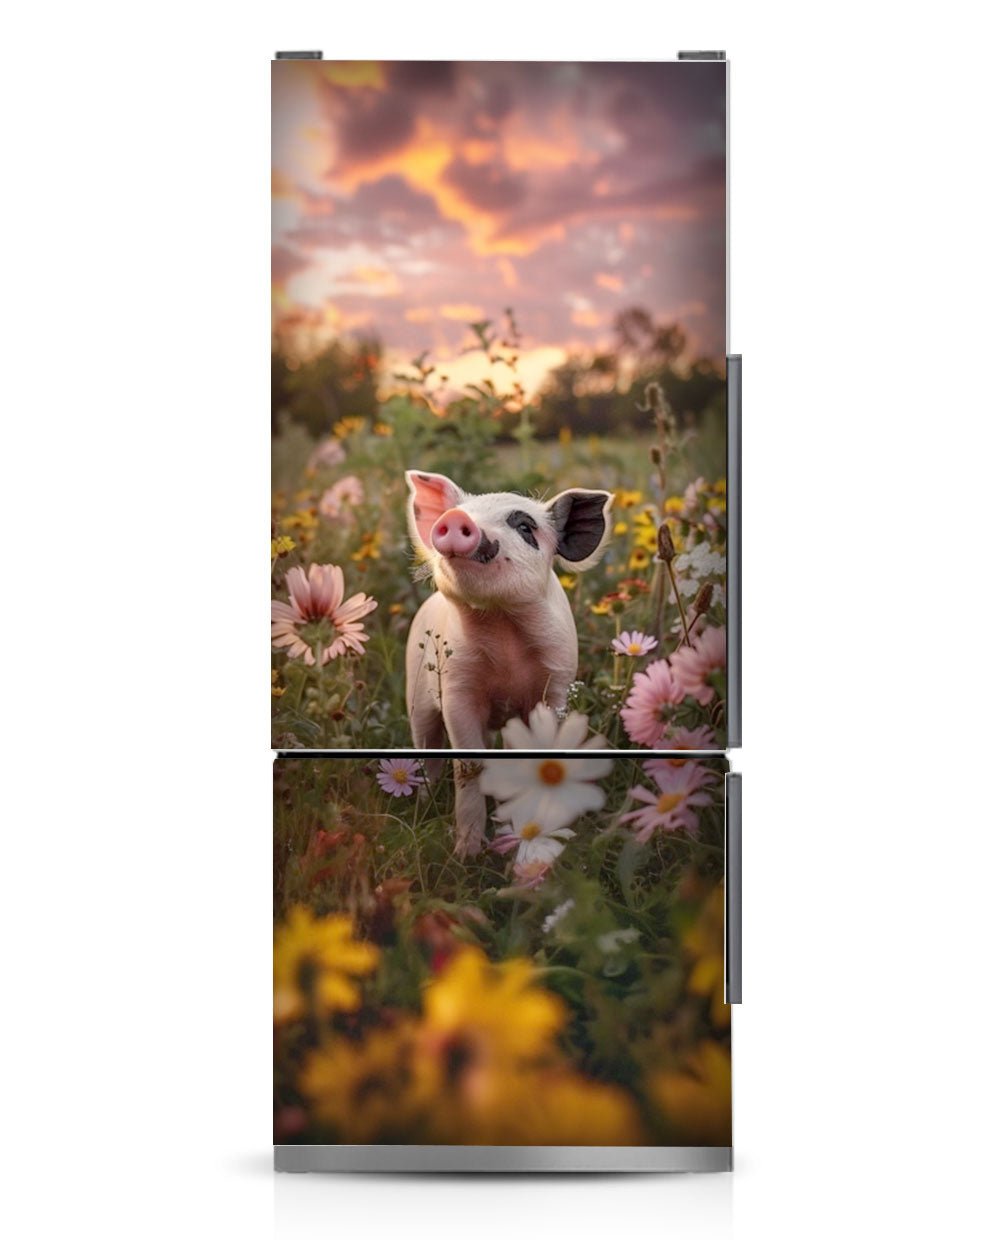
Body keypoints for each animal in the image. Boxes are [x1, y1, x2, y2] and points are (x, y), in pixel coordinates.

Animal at [404, 469, 614, 855]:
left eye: (525, 527)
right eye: (463, 512)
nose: (456, 518)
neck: (503, 634)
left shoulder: (557, 682)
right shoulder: (457, 688)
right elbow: (467, 763)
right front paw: (466, 855)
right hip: (417, 696)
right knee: (428, 750)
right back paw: (422, 802)